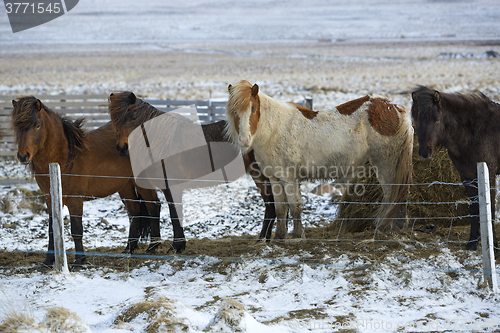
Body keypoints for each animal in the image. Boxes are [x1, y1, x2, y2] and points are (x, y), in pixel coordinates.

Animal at [10, 95, 161, 268]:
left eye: (37, 125)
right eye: (16, 126)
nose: (23, 156)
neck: (65, 158)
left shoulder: (75, 199)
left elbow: (77, 229)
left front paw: (79, 261)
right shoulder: (50, 199)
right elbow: (52, 230)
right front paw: (48, 262)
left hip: (142, 182)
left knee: (153, 207)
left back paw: (152, 248)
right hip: (125, 186)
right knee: (135, 211)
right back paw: (128, 249)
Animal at [108, 91, 278, 241]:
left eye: (133, 116)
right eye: (113, 119)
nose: (122, 148)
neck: (162, 140)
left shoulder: (172, 186)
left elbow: (175, 214)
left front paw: (177, 246)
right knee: (270, 204)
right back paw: (263, 239)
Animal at [227, 80, 414, 239]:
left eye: (253, 110)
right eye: (235, 112)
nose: (245, 140)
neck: (274, 129)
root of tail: (394, 108)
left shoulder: (289, 178)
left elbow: (295, 207)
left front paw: (297, 236)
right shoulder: (274, 178)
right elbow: (280, 209)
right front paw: (279, 237)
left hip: (385, 165)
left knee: (391, 194)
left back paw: (383, 227)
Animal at [412, 85, 498, 249]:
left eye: (437, 119)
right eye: (415, 119)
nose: (425, 152)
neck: (474, 133)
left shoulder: (488, 174)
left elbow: (490, 208)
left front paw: (495, 247)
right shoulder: (467, 176)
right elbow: (474, 207)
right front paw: (472, 242)